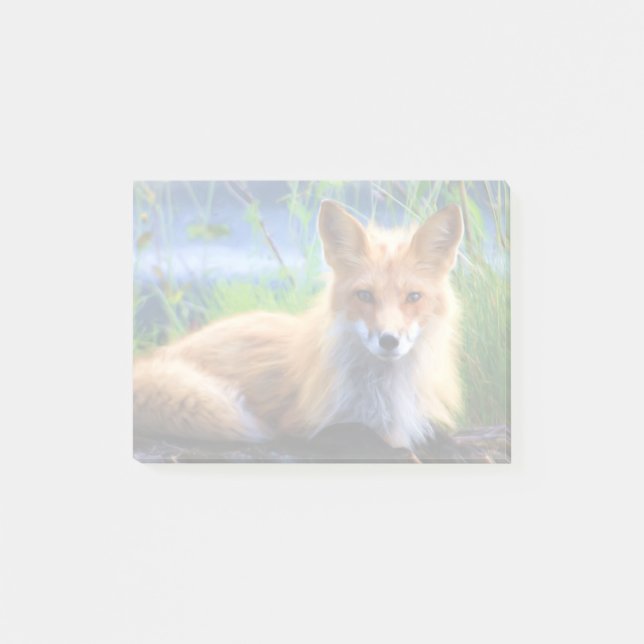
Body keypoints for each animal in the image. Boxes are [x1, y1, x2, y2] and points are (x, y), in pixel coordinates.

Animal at [133, 199, 464, 450]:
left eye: (413, 297)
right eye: (365, 295)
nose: (389, 340)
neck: (382, 396)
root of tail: (154, 357)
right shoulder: (313, 425)